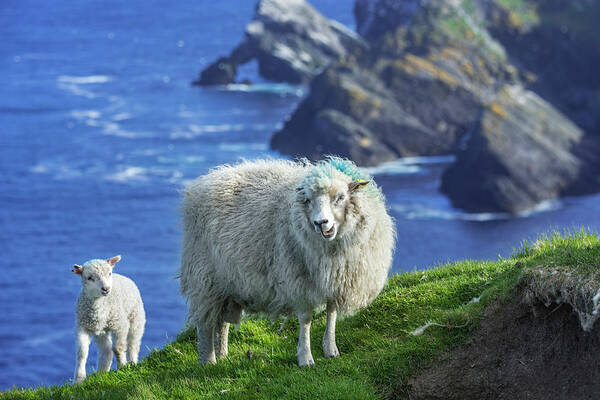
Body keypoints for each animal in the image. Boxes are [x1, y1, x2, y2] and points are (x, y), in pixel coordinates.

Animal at [178, 156, 394, 366]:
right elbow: (306, 320)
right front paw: (305, 358)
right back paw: (208, 361)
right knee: (205, 323)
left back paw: (222, 355)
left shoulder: (335, 281)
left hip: (228, 284)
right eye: (307, 200)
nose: (320, 223)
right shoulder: (299, 281)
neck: (332, 248)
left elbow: (331, 313)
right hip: (205, 278)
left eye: (340, 197)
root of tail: (203, 182)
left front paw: (331, 349)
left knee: (222, 322)